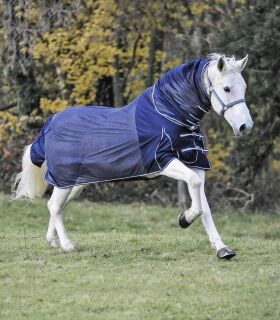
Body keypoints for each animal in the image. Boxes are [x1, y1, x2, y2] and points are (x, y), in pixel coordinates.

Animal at [12, 54, 254, 260]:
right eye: (226, 88)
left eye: (243, 87)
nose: (245, 127)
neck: (170, 115)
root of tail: (50, 125)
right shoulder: (164, 162)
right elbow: (196, 197)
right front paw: (184, 219)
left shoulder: (195, 164)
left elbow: (205, 207)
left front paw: (222, 249)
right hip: (65, 178)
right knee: (54, 206)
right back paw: (68, 245)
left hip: (75, 183)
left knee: (57, 206)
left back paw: (52, 240)